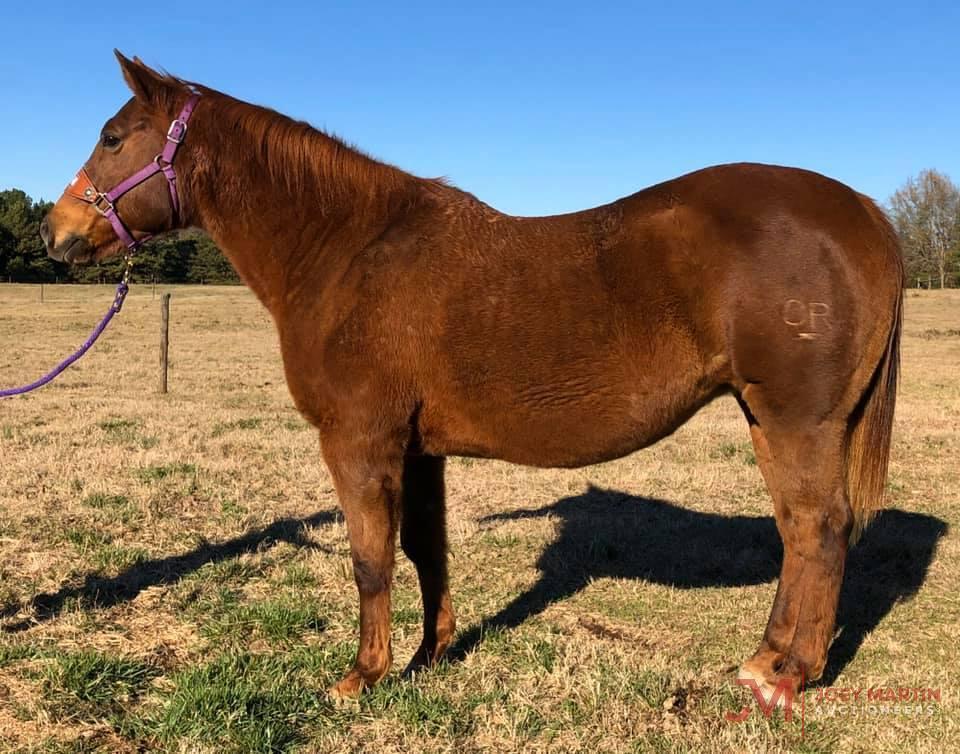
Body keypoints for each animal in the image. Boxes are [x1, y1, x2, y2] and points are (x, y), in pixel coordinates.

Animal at [43, 53, 900, 700]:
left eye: (114, 137)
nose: (56, 232)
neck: (348, 250)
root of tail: (861, 207)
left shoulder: (360, 443)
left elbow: (370, 558)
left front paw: (361, 677)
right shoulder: (420, 449)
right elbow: (427, 548)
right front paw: (429, 656)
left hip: (797, 421)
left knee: (818, 530)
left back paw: (784, 676)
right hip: (772, 420)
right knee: (801, 532)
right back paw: (768, 659)